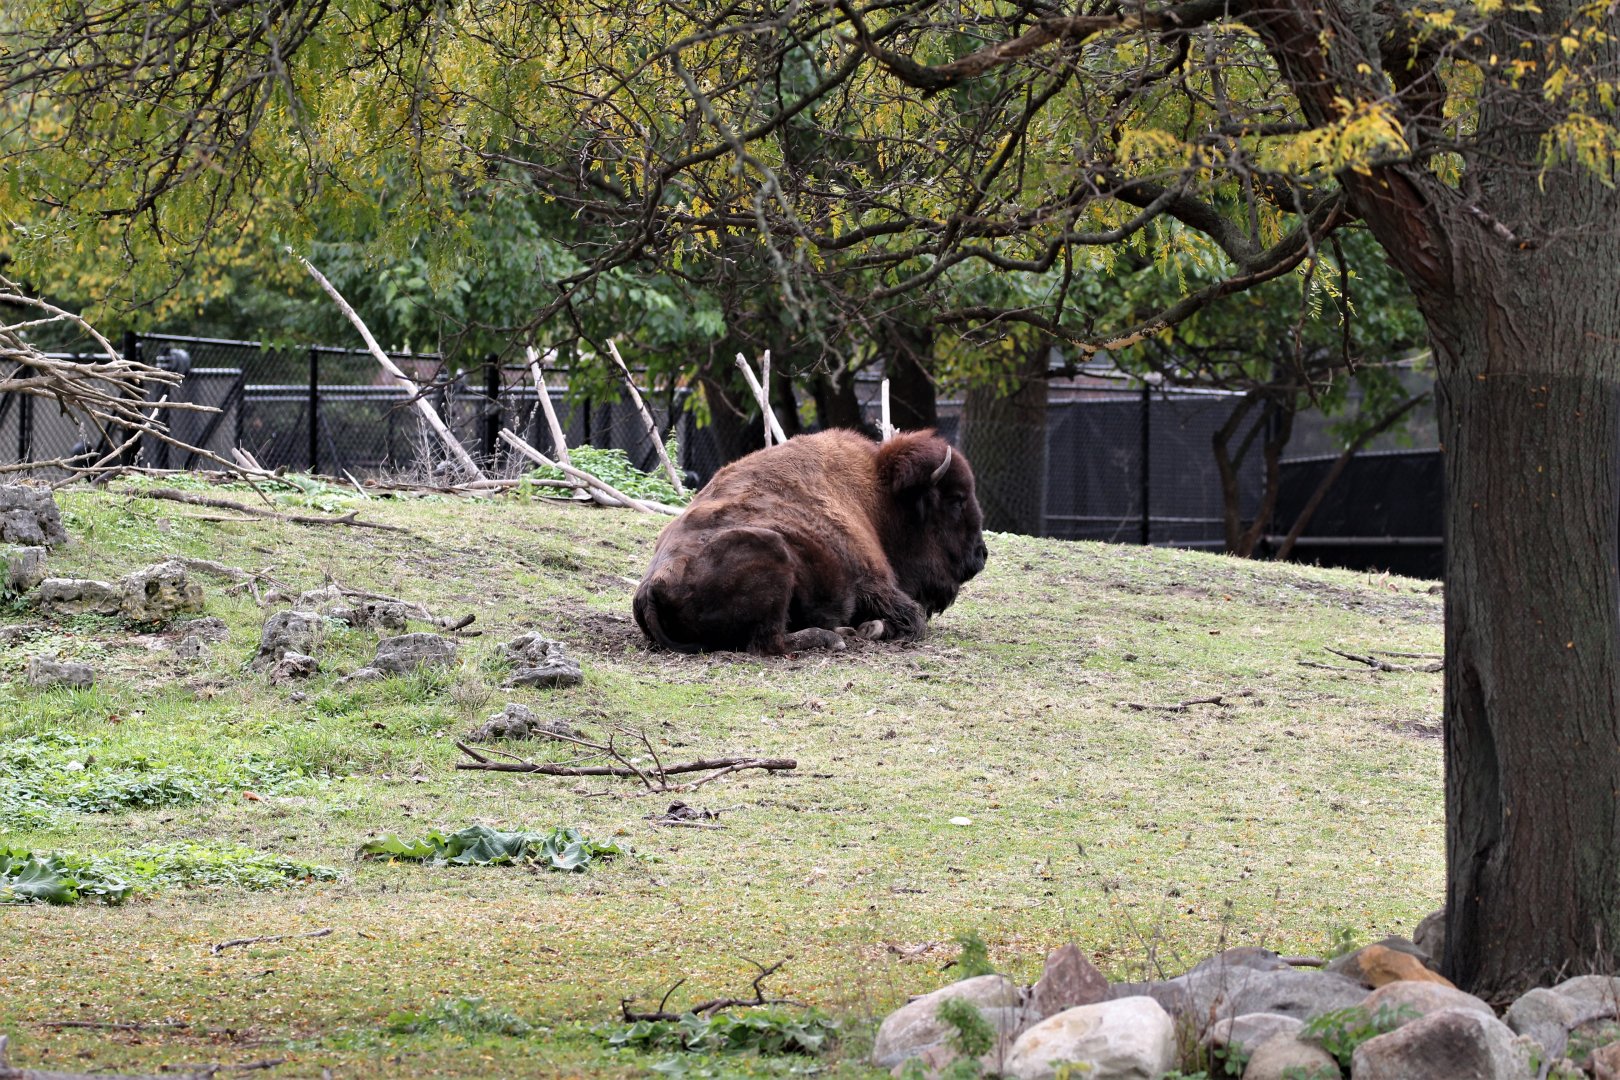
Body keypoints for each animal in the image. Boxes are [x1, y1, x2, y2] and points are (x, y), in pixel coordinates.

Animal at [633, 428, 987, 654]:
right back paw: (834, 638)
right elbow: (913, 618)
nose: (981, 556)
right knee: (770, 643)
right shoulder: (874, 584)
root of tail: (652, 586)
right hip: (772, 551)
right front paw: (871, 629)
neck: (879, 494)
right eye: (956, 500)